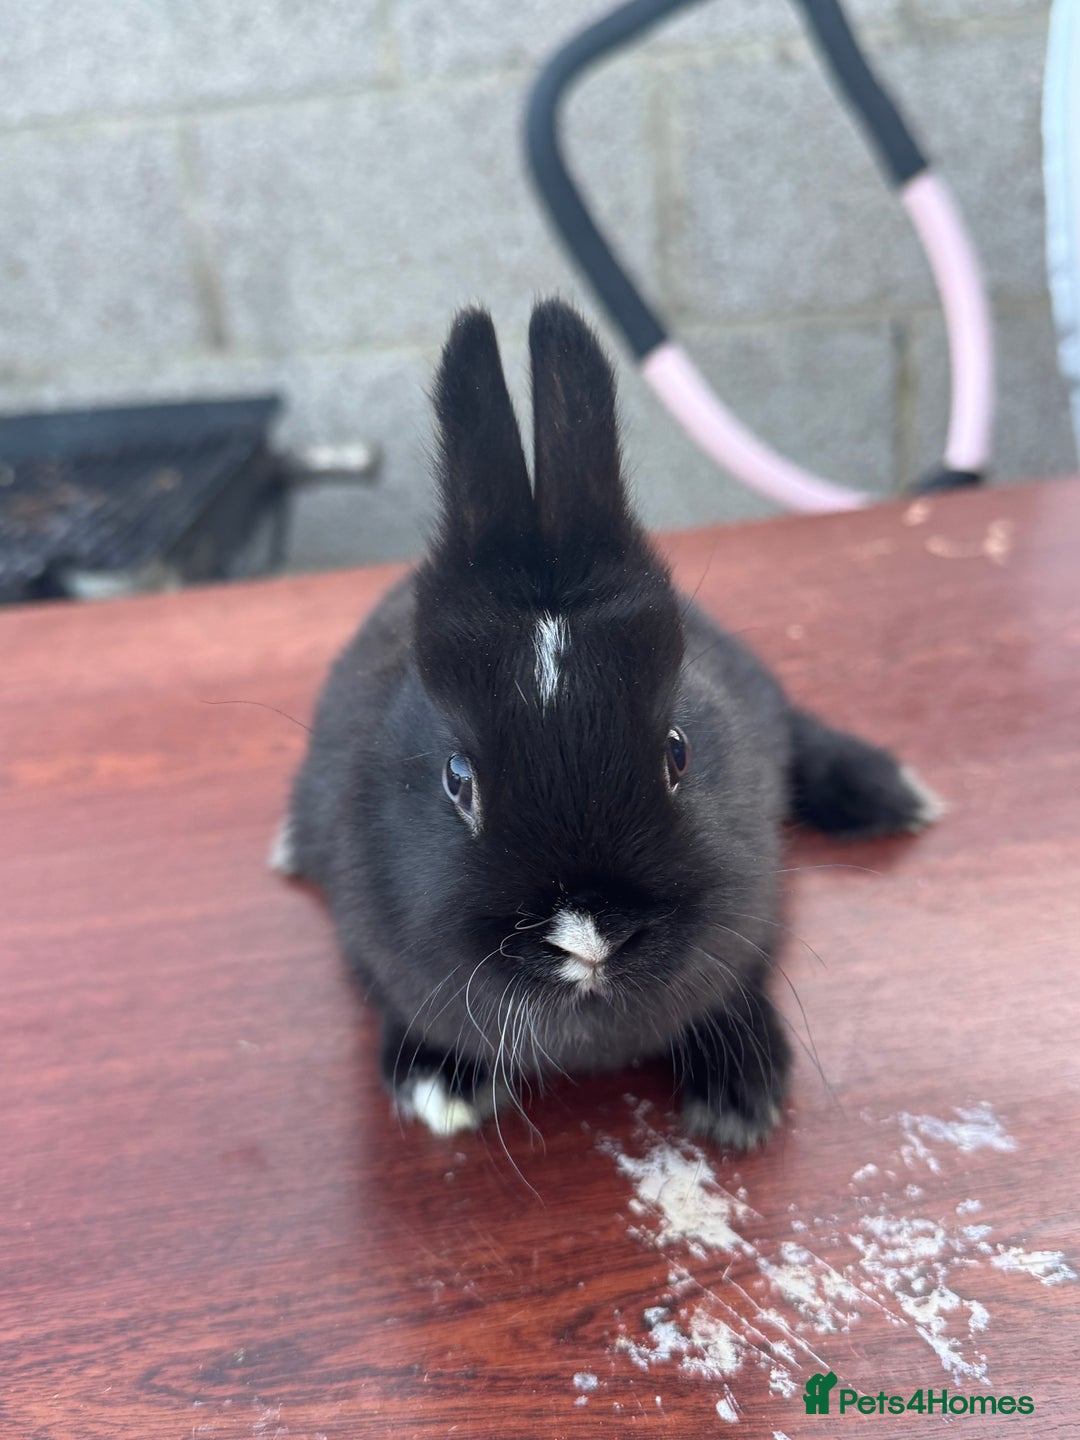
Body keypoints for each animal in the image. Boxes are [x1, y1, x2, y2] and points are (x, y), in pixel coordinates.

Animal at [271, 298, 944, 1148]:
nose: (591, 937)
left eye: (678, 752)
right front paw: (438, 1085)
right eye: (458, 781)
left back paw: (893, 795)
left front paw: (742, 1097)